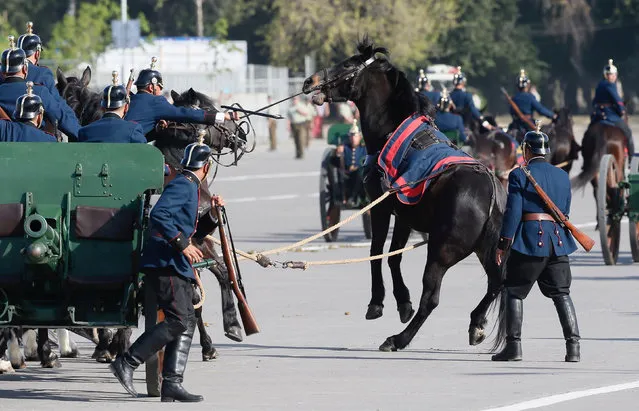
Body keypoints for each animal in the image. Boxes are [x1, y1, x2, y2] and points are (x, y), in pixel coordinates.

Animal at [302, 38, 508, 352]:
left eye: (348, 64)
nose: (310, 81)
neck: (393, 134)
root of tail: (491, 193)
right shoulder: (403, 214)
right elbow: (393, 257)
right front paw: (402, 302)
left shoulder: (380, 207)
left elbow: (376, 252)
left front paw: (377, 303)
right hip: (484, 250)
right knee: (496, 283)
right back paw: (476, 323)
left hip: (441, 251)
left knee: (431, 299)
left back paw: (398, 339)